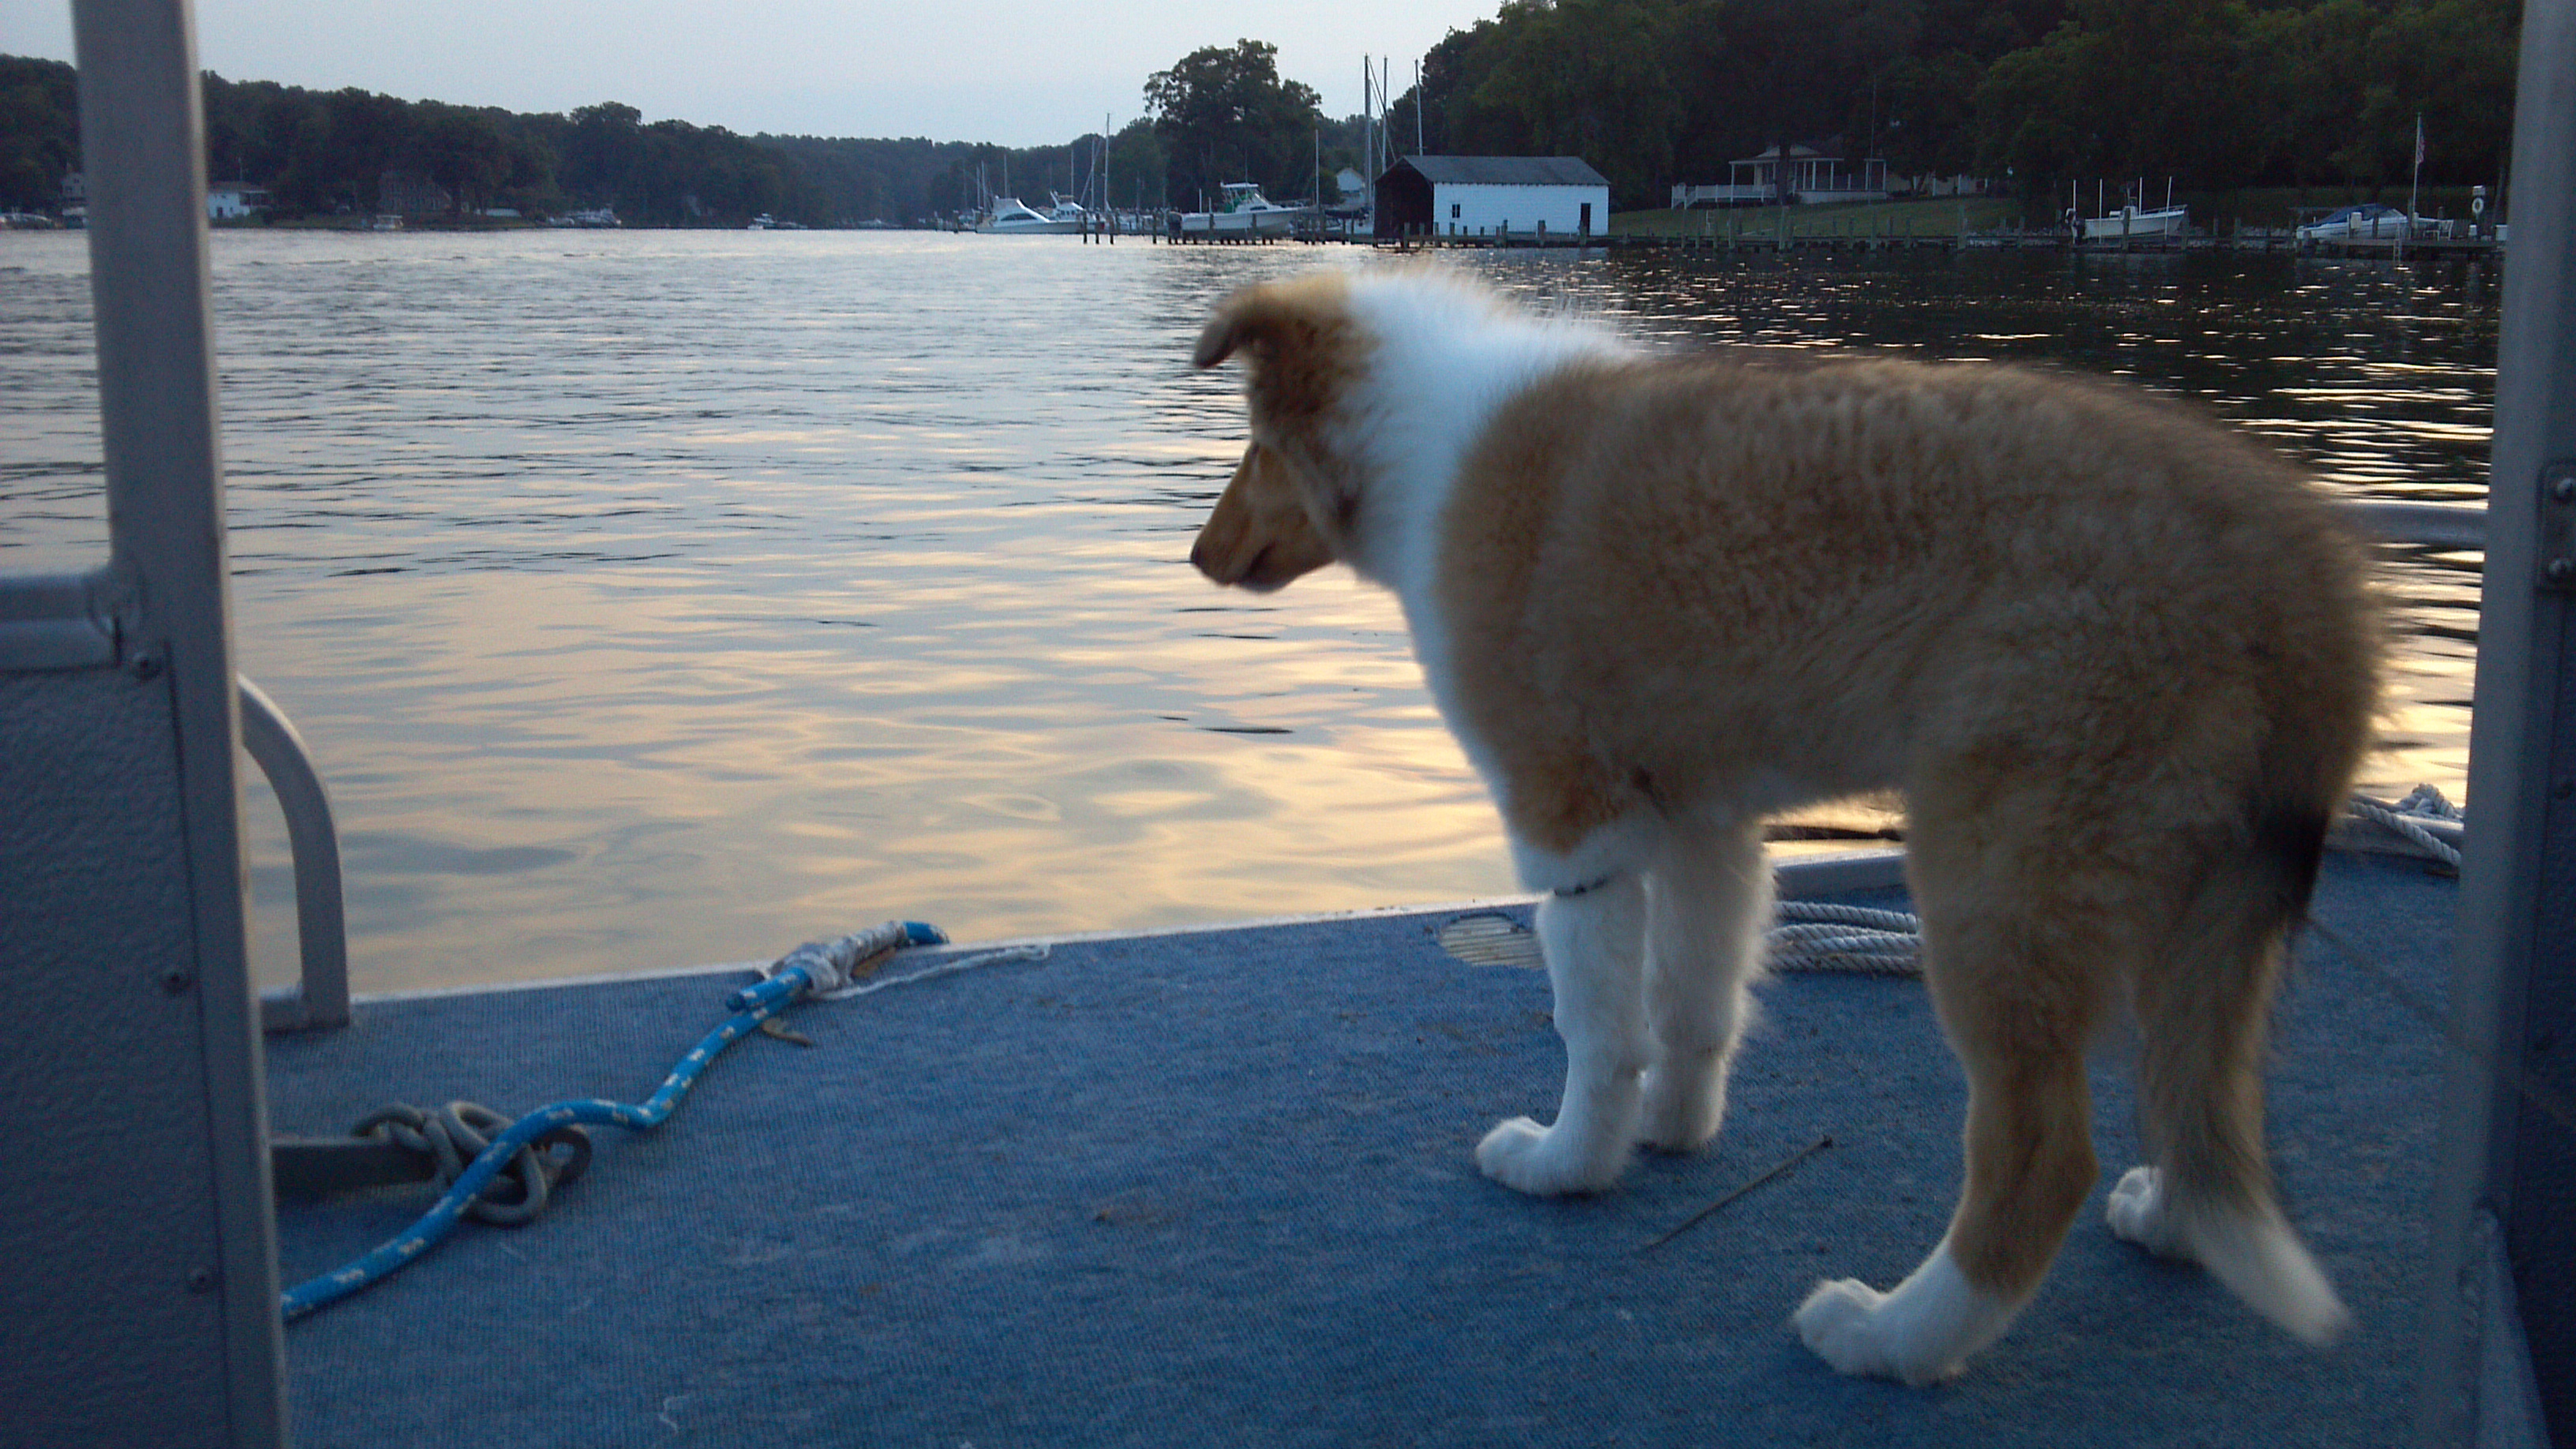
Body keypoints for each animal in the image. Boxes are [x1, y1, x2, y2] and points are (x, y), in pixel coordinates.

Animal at [1185, 265, 2377, 1384]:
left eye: (1255, 448)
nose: (1198, 558)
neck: (1418, 435)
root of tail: (2297, 567)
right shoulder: (1700, 822)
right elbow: (1691, 1003)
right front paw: (1669, 1129)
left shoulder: (1573, 826)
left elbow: (1597, 1027)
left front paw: (1567, 1164)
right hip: (2206, 901)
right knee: (2202, 1091)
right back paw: (2174, 1219)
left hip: (1999, 876)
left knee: (2040, 1158)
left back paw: (1892, 1336)